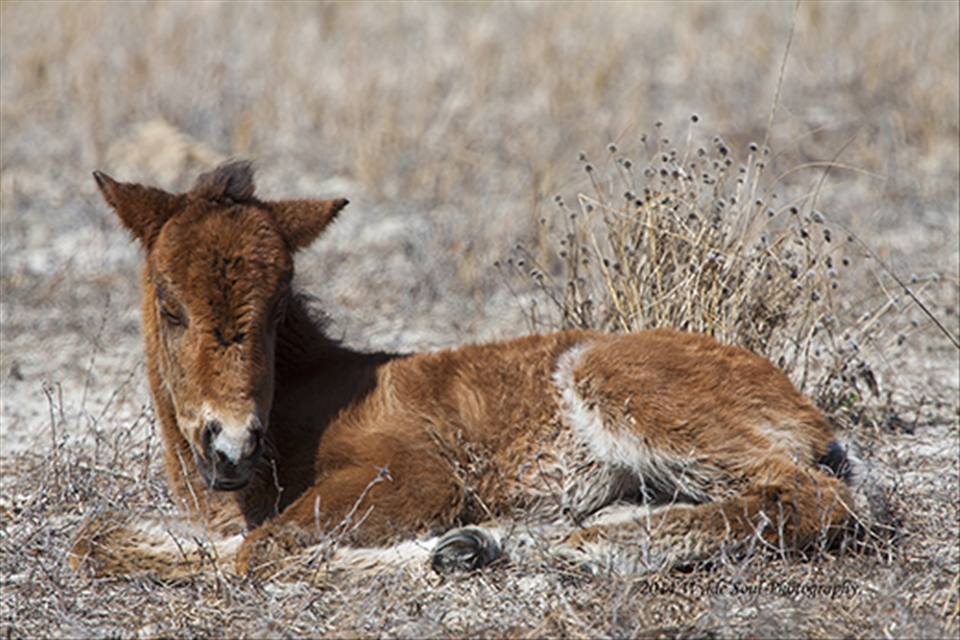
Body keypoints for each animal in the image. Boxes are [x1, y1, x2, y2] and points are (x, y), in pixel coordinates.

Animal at [71, 160, 855, 580]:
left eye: (278, 307)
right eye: (170, 306)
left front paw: (460, 546)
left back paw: (586, 545)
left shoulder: (415, 472)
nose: (231, 445)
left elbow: (264, 549)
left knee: (815, 496)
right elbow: (98, 539)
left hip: (625, 387)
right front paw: (471, 545)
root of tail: (799, 402)